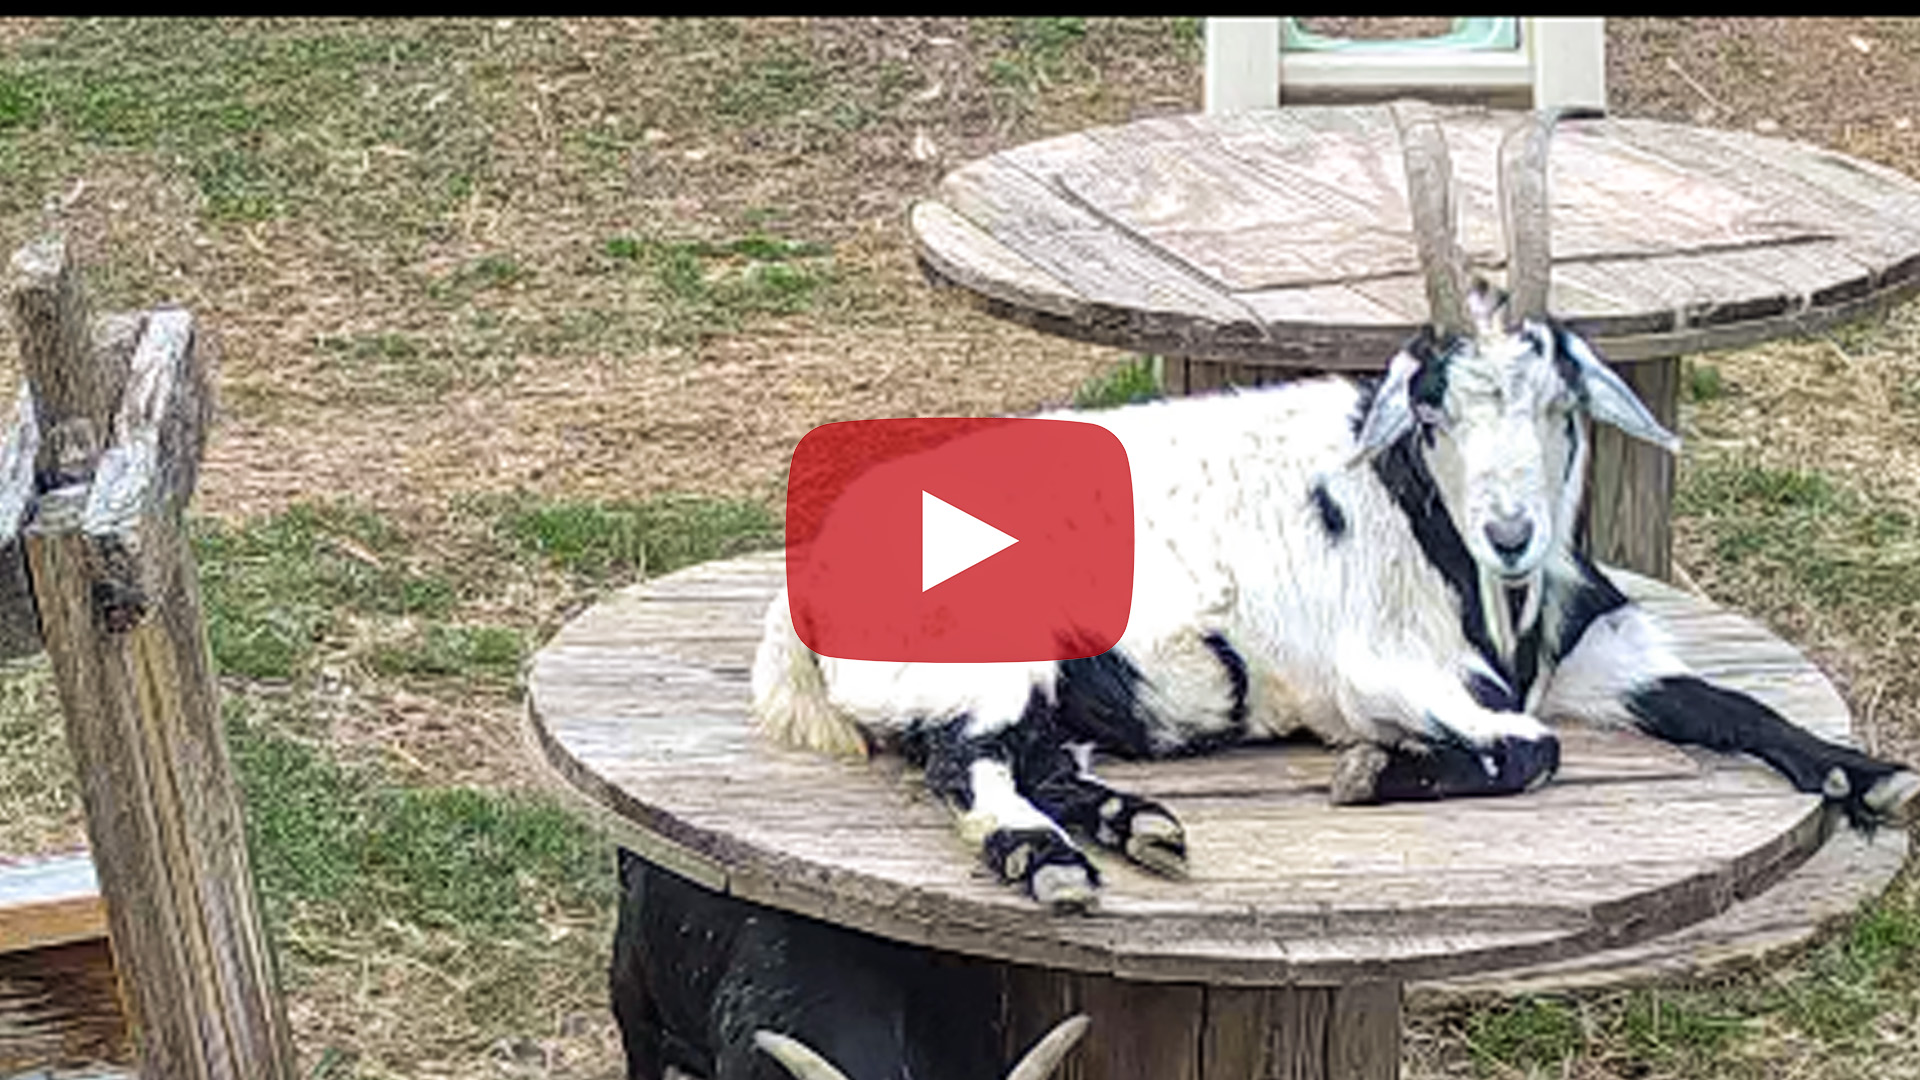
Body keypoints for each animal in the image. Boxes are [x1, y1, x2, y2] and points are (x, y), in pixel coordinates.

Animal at [751, 106, 1920, 908]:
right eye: (1435, 407)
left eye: (1561, 403)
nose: (1511, 535)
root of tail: (797, 603)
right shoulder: (1389, 673)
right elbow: (1531, 751)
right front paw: (1371, 772)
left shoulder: (1602, 655)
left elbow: (1737, 705)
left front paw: (1874, 779)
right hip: (985, 660)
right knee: (969, 764)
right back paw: (1049, 862)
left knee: (1034, 759)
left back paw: (1143, 825)